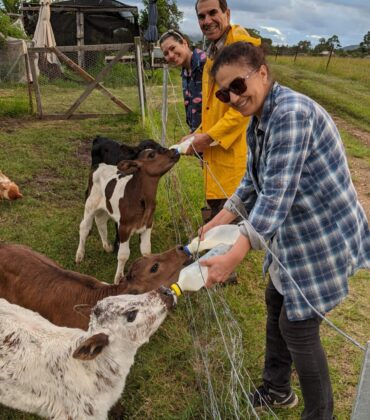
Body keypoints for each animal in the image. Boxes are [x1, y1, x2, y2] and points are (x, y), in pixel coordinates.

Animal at [76, 147, 180, 282]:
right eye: (151, 155)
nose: (175, 150)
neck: (141, 199)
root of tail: (99, 165)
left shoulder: (148, 224)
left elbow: (146, 250)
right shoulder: (124, 227)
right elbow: (123, 255)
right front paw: (118, 278)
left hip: (106, 206)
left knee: (101, 221)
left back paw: (107, 246)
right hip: (90, 203)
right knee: (84, 227)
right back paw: (79, 255)